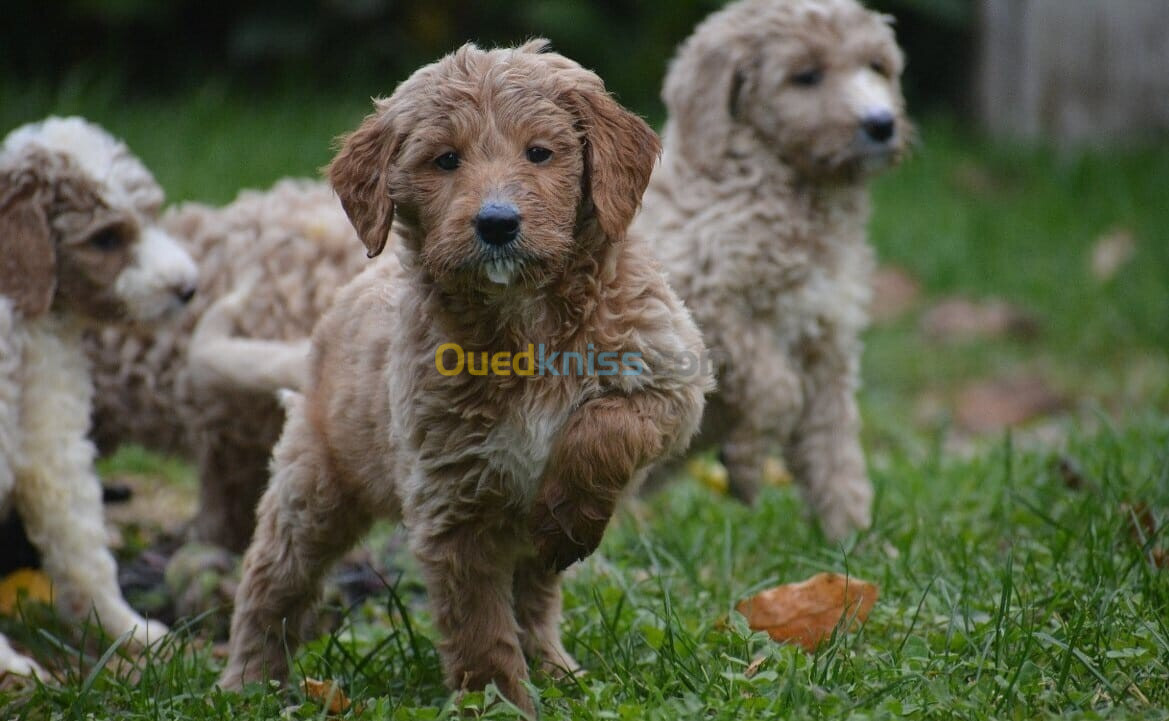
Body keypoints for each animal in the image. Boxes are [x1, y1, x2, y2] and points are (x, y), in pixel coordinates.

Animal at [220, 39, 710, 710]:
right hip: (314, 487)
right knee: (271, 584)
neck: (524, 321)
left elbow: (603, 429)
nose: (497, 223)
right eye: (446, 160)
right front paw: (497, 702)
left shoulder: (668, 380)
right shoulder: (453, 501)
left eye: (540, 152)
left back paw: (558, 669)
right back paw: (246, 684)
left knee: (536, 594)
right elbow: (478, 623)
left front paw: (569, 515)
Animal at [635, 0, 907, 537]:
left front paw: (855, 541)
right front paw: (745, 463)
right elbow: (777, 388)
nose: (882, 123)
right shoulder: (706, 309)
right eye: (806, 76)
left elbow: (834, 451)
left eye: (877, 67)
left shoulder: (828, 346)